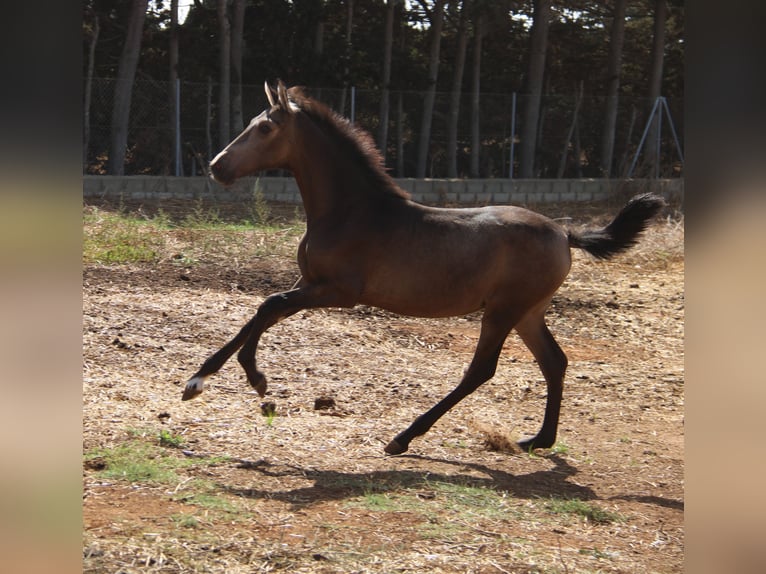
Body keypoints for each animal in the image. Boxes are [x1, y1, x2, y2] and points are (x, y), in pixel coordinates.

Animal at [182, 82, 664, 460]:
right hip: (528, 312)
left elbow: (267, 306)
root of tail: (565, 233)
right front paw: (197, 380)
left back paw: (404, 437)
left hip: (503, 311)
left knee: (481, 370)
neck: (351, 211)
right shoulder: (309, 283)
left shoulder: (338, 291)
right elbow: (258, 314)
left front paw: (255, 379)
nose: (216, 166)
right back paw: (538, 440)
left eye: (265, 128)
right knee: (554, 362)